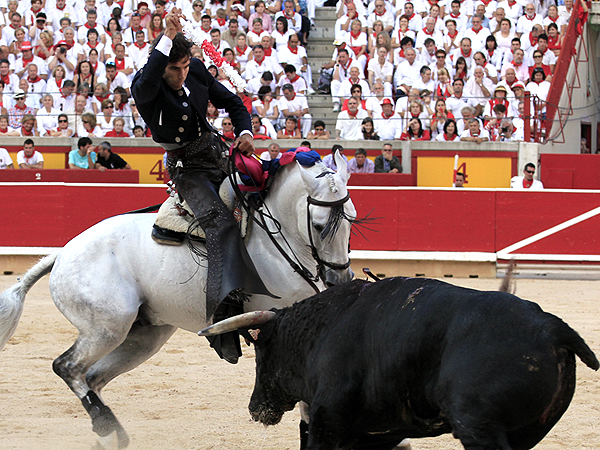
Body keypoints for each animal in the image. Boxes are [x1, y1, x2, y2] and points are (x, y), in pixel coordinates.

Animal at [0, 152, 354, 450]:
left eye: (351, 219)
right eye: (319, 225)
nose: (339, 278)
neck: (276, 240)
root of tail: (62, 254)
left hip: (143, 337)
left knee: (92, 377)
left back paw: (107, 435)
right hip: (106, 327)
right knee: (68, 366)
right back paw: (108, 427)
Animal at [199, 278, 596, 450]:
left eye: (261, 355)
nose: (255, 408)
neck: (320, 329)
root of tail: (553, 329)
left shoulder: (328, 422)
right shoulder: (375, 433)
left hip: (478, 426)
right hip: (526, 433)